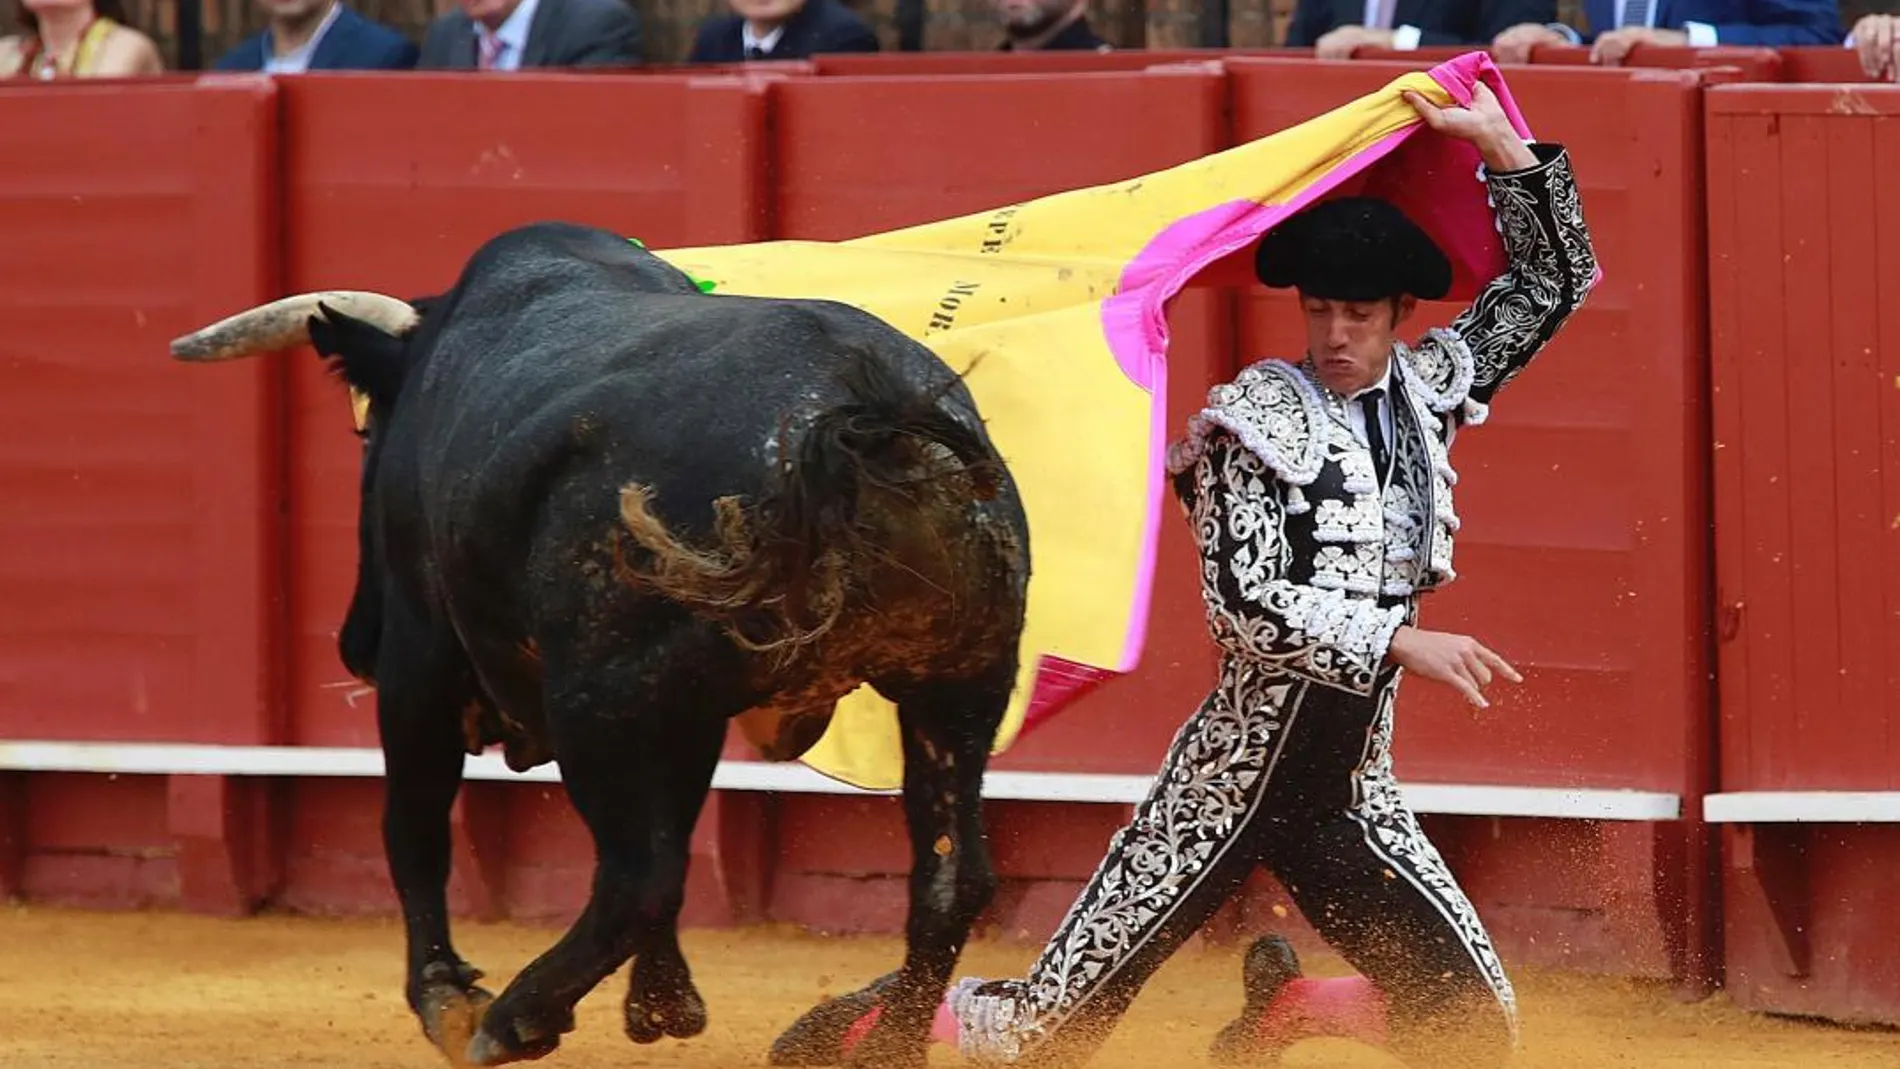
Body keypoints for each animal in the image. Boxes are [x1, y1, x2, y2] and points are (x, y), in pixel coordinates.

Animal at [176, 219, 1033, 1069]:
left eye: (367, 436)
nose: (356, 641)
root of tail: (857, 403)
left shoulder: (422, 662)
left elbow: (415, 826)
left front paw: (446, 999)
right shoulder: (685, 709)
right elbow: (675, 818)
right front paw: (662, 1002)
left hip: (595, 697)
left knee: (636, 874)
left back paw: (513, 1017)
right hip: (960, 680)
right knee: (948, 876)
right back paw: (888, 1044)